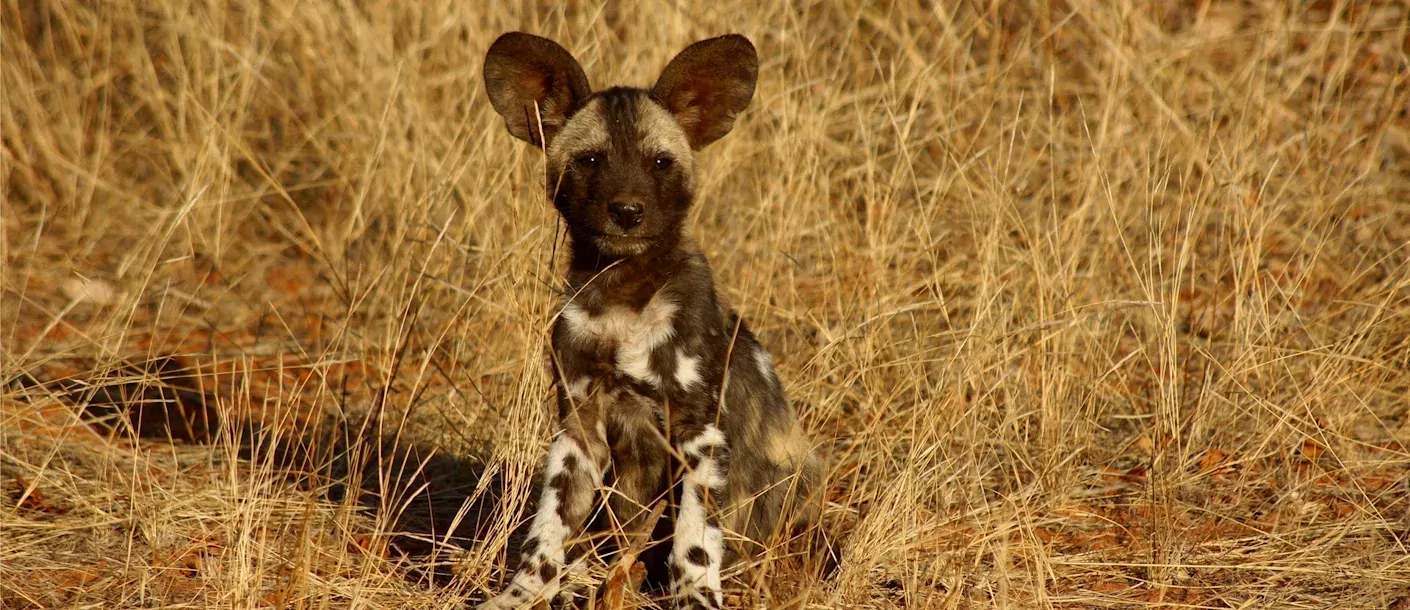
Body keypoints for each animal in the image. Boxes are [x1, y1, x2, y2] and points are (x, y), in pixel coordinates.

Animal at [479, 33, 823, 608]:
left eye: (660, 162)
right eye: (590, 160)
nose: (627, 211)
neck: (624, 299)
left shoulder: (698, 433)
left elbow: (695, 542)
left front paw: (696, 597)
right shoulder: (579, 429)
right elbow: (546, 531)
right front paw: (522, 593)